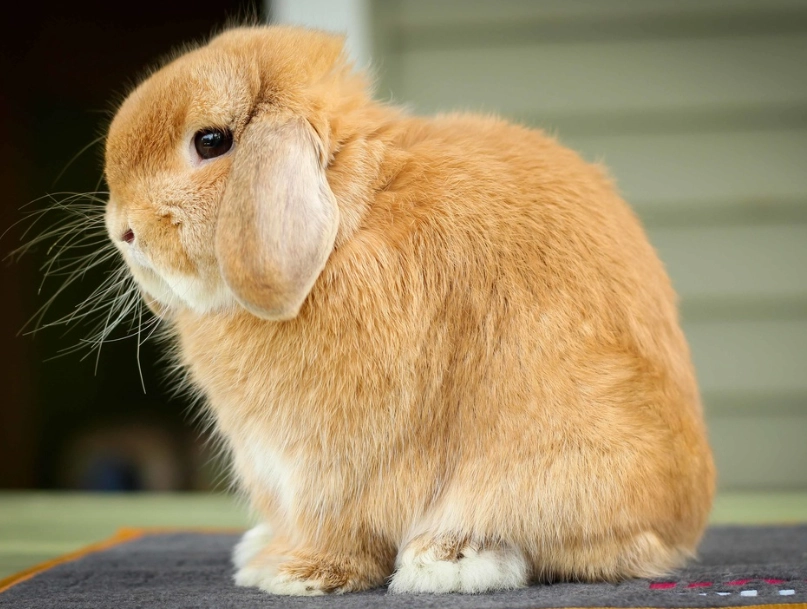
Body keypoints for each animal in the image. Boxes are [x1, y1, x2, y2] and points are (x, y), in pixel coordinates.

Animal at [103, 25, 715, 595]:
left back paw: (448, 560)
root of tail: (683, 524)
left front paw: (301, 575)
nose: (123, 230)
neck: (349, 218)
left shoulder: (329, 468)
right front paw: (267, 559)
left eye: (211, 141)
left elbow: (340, 529)